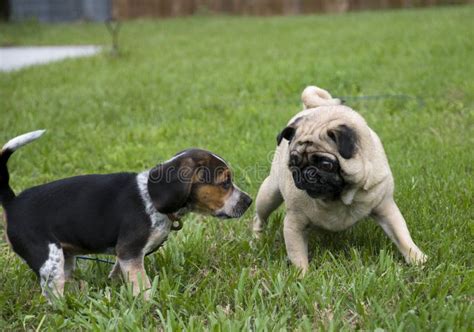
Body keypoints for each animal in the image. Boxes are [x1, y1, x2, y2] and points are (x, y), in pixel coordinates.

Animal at [0, 130, 252, 300]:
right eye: (225, 183)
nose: (249, 201)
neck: (151, 198)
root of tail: (13, 203)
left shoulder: (126, 255)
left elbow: (119, 273)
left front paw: (115, 287)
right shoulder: (129, 251)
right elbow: (142, 283)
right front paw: (150, 303)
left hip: (65, 258)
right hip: (49, 260)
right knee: (52, 294)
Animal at [254, 86, 428, 274]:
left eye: (326, 164)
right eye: (293, 163)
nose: (307, 172)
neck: (340, 197)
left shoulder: (385, 207)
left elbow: (401, 235)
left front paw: (417, 259)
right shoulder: (294, 223)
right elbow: (297, 255)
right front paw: (303, 276)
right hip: (269, 194)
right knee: (259, 217)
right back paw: (256, 239)